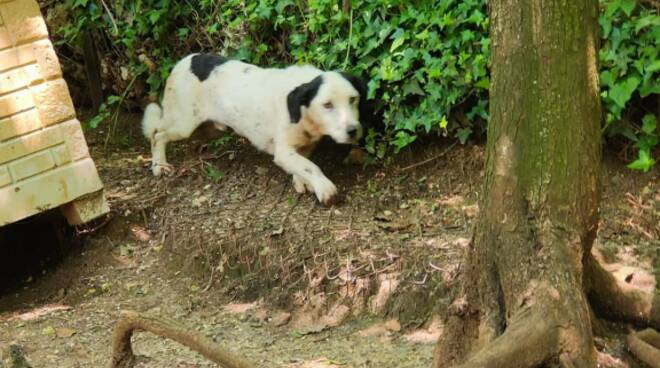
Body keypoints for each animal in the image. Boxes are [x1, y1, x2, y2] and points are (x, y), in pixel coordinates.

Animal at [142, 53, 368, 206]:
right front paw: (325, 189)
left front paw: (303, 182)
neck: (302, 112)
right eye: (327, 105)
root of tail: (183, 61)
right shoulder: (282, 151)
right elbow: (311, 167)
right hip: (183, 123)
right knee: (157, 134)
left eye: (353, 99)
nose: (353, 131)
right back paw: (159, 165)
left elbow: (304, 164)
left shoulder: (303, 145)